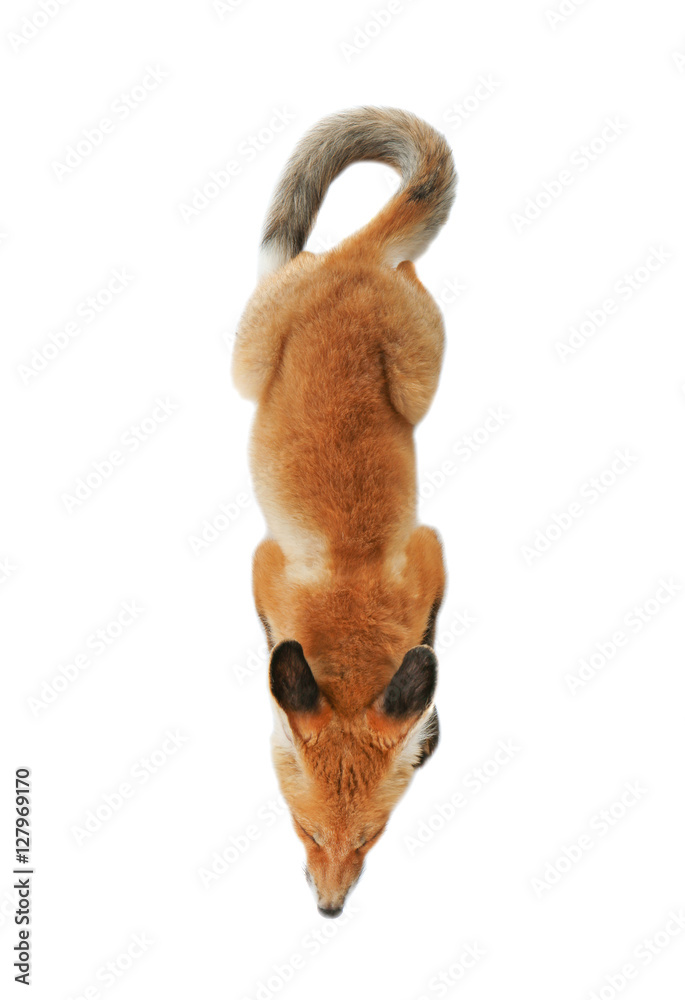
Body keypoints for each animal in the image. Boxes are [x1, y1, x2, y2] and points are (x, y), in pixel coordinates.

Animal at [232, 107, 456, 916]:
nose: (328, 912)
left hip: (422, 371)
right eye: (304, 832)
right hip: (245, 361)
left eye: (368, 840)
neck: (350, 591)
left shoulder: (430, 554)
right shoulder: (264, 566)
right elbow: (273, 643)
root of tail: (350, 261)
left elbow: (429, 649)